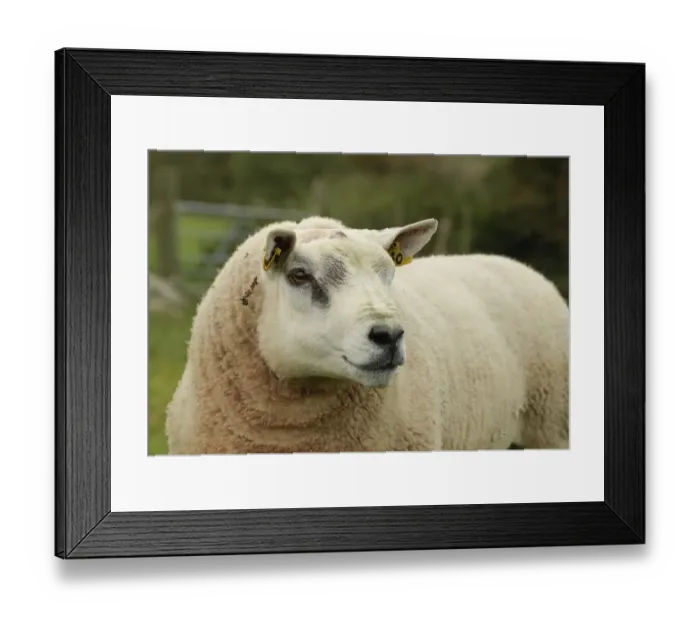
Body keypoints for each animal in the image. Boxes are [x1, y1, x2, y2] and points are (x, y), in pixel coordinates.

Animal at [165, 216, 569, 454]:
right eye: (299, 275)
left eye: (388, 271)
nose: (389, 335)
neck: (285, 434)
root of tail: (513, 263)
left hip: (552, 428)